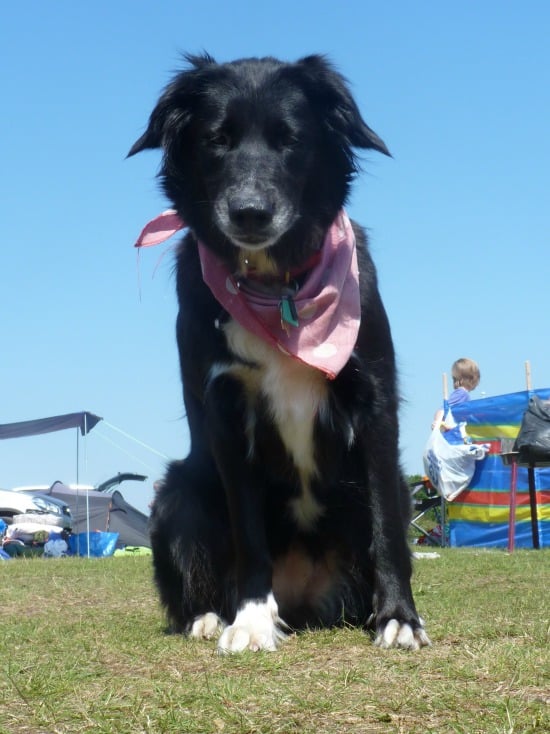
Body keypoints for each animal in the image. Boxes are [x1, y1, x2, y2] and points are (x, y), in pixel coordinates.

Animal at [129, 56, 432, 656]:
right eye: (216, 140)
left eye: (290, 140)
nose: (249, 212)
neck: (280, 289)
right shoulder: (225, 410)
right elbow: (249, 531)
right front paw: (250, 621)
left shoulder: (374, 399)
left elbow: (387, 522)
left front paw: (399, 618)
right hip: (177, 492)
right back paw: (208, 617)